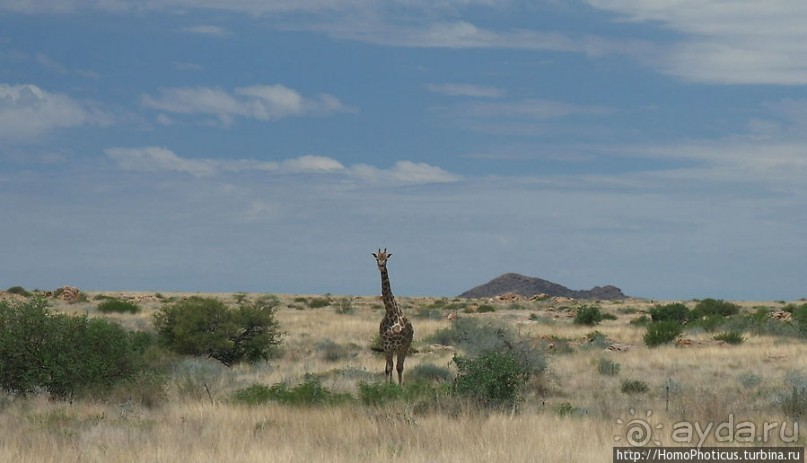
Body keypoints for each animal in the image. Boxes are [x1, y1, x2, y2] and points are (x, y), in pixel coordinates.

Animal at [370, 248, 414, 386]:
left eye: (386, 258)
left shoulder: (400, 345)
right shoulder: (386, 345)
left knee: (400, 366)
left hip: (405, 346)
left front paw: (399, 387)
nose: (381, 265)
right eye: (377, 258)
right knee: (391, 365)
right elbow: (388, 368)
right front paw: (387, 386)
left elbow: (398, 367)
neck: (390, 313)